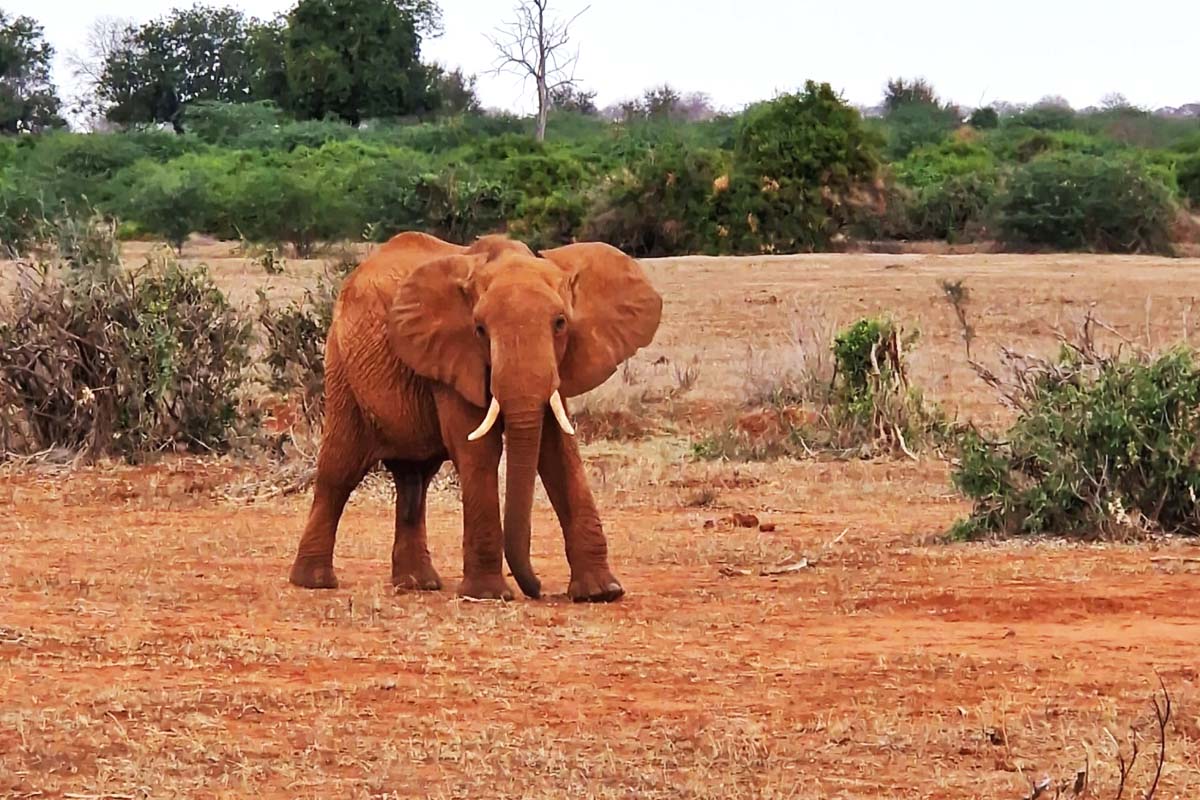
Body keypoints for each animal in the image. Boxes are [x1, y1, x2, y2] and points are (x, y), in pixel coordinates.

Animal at [288, 231, 663, 601]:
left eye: (560, 324)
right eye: (480, 329)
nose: (539, 589)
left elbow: (558, 451)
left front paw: (602, 592)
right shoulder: (452, 357)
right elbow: (479, 450)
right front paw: (489, 594)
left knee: (414, 479)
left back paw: (418, 585)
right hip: (341, 366)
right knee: (340, 469)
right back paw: (315, 582)